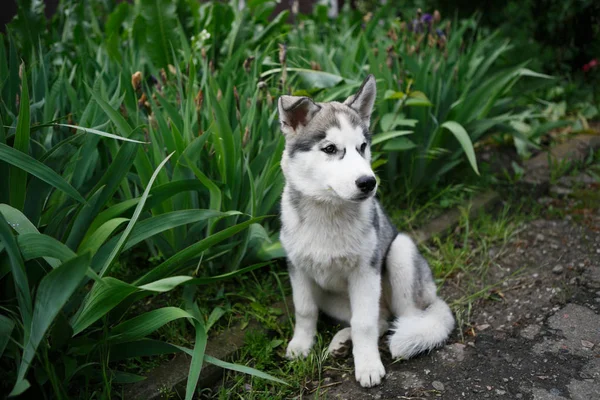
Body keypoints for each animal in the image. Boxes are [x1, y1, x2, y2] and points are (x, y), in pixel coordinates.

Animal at [276, 75, 454, 388]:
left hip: (401, 254)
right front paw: (300, 345)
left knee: (399, 318)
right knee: (380, 317)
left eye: (362, 147)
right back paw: (342, 342)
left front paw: (368, 364)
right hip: (331, 296)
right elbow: (305, 310)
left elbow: (364, 322)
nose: (368, 183)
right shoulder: (298, 268)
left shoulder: (364, 272)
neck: (328, 213)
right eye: (330, 149)